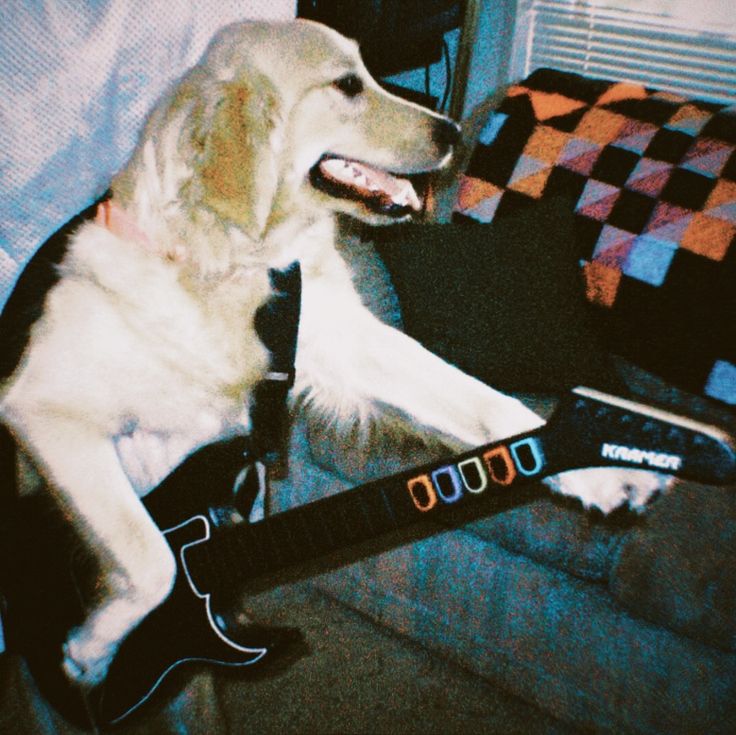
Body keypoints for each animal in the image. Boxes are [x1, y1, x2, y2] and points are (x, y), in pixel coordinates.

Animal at [0, 18, 668, 688]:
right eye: (348, 85)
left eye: (371, 72)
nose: (453, 133)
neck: (234, 262)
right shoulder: (41, 406)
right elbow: (153, 558)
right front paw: (91, 648)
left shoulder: (343, 340)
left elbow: (487, 403)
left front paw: (602, 466)